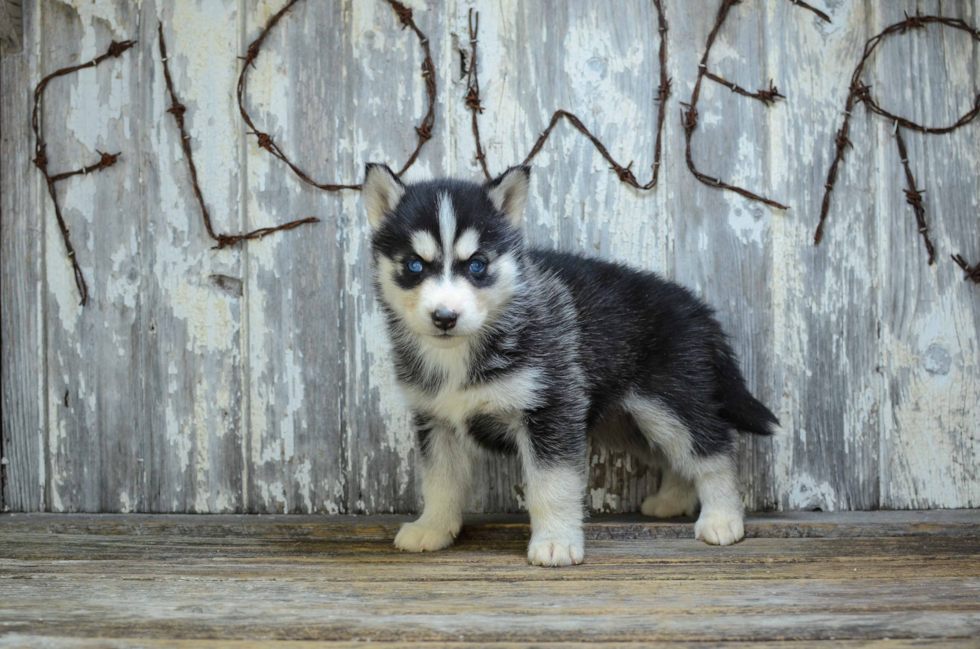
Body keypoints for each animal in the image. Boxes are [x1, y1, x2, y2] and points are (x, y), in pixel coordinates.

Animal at [364, 163, 776, 568]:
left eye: (478, 265)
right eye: (414, 266)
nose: (445, 317)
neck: (460, 354)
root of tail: (698, 308)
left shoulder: (551, 408)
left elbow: (552, 485)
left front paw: (555, 543)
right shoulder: (437, 420)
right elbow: (440, 480)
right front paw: (432, 527)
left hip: (671, 404)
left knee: (712, 451)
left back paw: (722, 518)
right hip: (630, 422)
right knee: (675, 457)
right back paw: (673, 500)